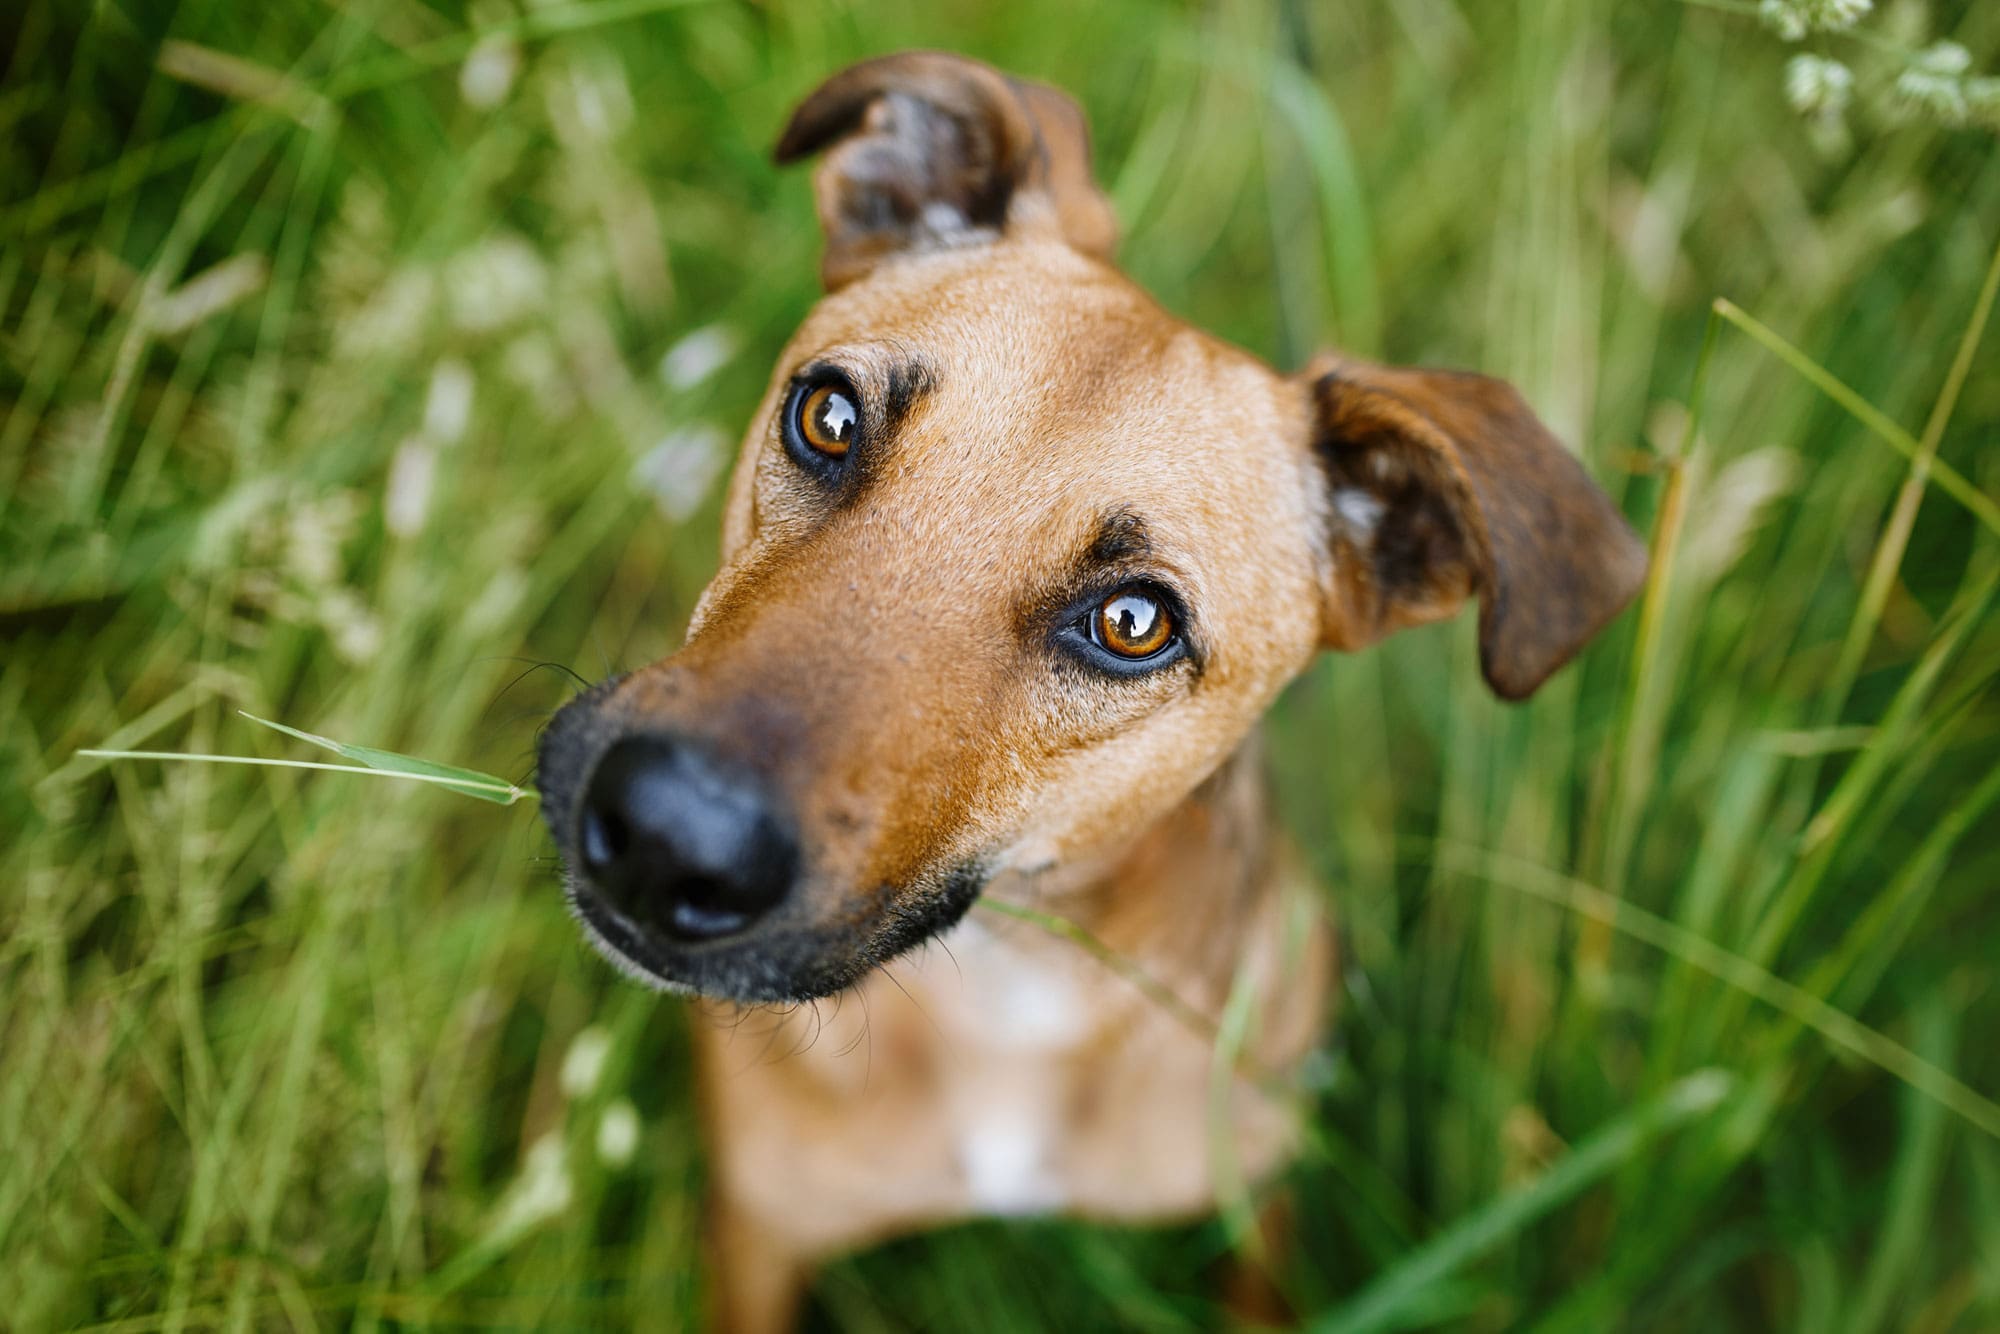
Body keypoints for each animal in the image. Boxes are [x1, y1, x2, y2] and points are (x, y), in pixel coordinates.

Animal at [532, 52, 1640, 1334]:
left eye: (1130, 622)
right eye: (827, 415)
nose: (665, 835)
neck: (1012, 987)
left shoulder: (1250, 1189)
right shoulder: (762, 1228)